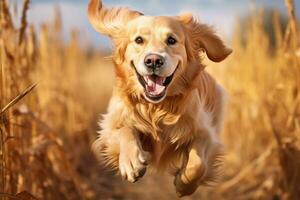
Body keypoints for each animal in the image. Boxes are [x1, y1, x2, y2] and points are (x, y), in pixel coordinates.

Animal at [86, 0, 232, 197]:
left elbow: (198, 164)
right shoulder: (109, 127)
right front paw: (132, 162)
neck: (156, 107)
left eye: (171, 40)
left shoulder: (206, 133)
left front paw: (184, 184)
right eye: (139, 40)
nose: (153, 60)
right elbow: (124, 129)